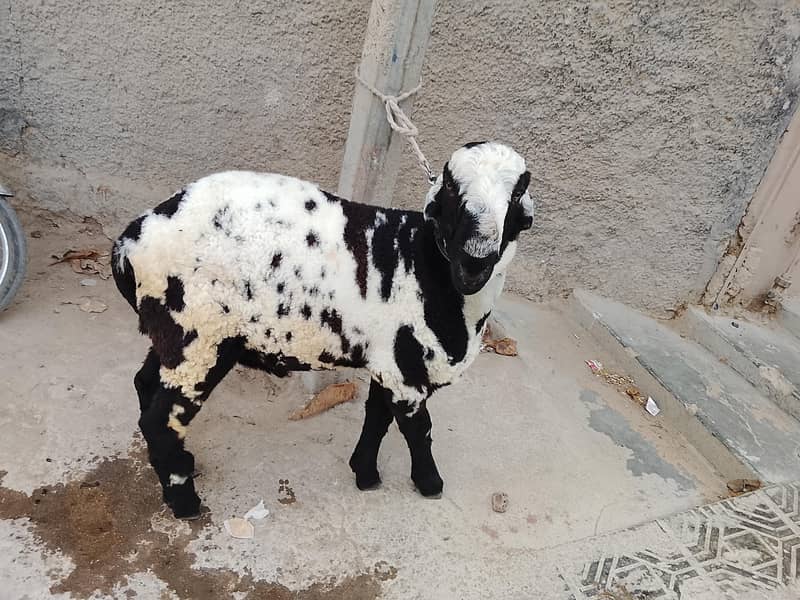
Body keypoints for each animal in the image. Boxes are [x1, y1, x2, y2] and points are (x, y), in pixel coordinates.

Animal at [112, 141, 534, 519]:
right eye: (450, 186)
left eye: (517, 193)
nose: (475, 259)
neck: (426, 264)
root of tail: (131, 240)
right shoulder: (406, 371)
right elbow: (418, 428)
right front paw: (430, 484)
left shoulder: (387, 358)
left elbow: (377, 416)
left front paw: (365, 473)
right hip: (200, 337)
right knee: (160, 420)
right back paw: (184, 503)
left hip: (173, 334)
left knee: (144, 384)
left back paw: (177, 466)